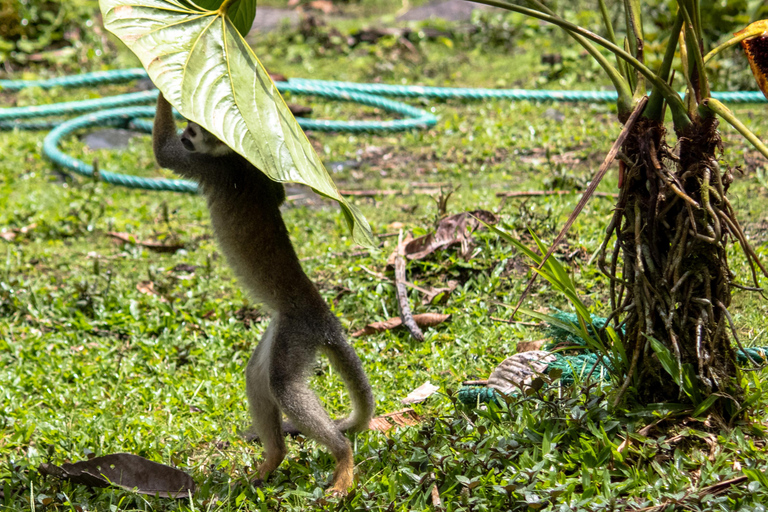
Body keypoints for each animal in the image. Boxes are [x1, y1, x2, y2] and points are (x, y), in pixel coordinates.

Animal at [152, 93, 374, 496]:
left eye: (193, 131)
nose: (188, 137)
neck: (230, 154)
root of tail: (324, 316)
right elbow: (279, 194)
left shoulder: (208, 164)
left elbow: (163, 154)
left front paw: (161, 89)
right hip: (284, 328)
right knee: (258, 377)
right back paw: (274, 457)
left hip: (298, 332)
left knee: (283, 386)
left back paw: (343, 456)